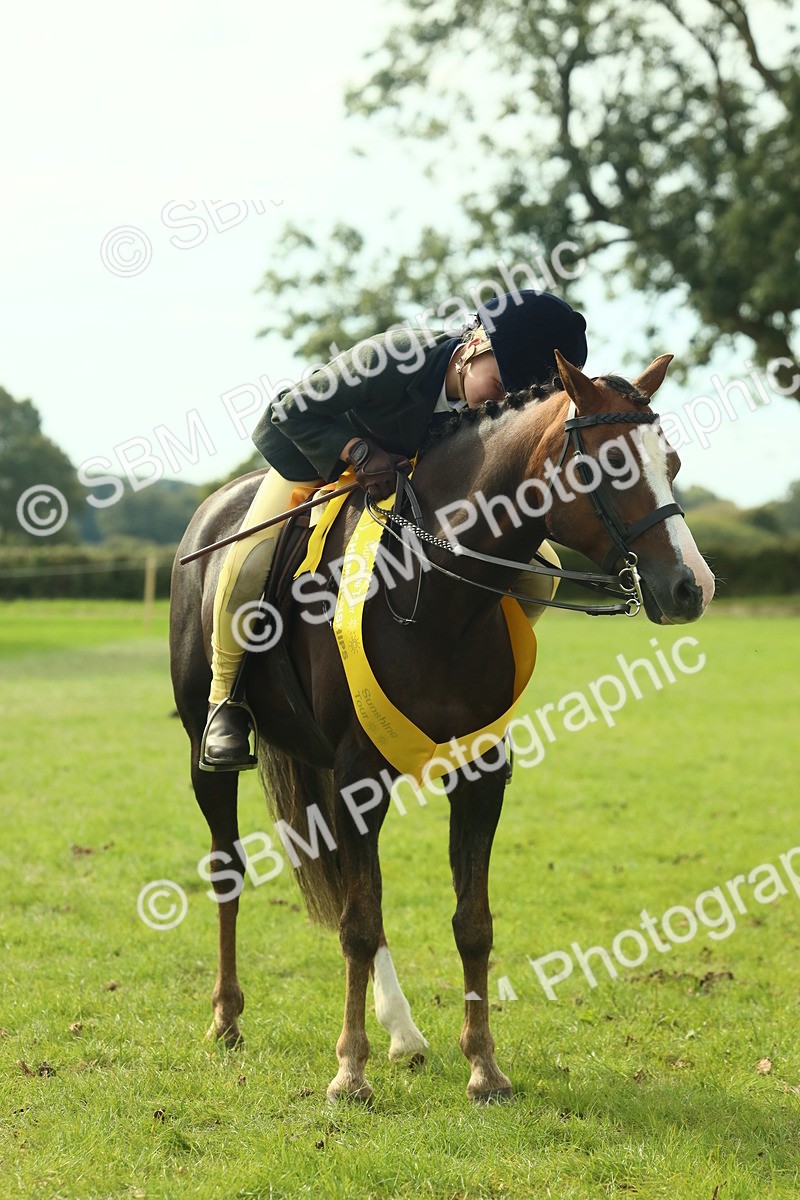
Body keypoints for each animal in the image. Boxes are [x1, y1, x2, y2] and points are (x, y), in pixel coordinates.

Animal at [169, 352, 715, 1104]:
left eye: (673, 461)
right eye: (609, 465)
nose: (693, 586)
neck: (439, 590)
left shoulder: (478, 774)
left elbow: (469, 923)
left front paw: (484, 1066)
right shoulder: (359, 776)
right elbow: (358, 924)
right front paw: (350, 1072)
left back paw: (403, 1033)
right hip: (211, 755)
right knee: (231, 868)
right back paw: (227, 1018)